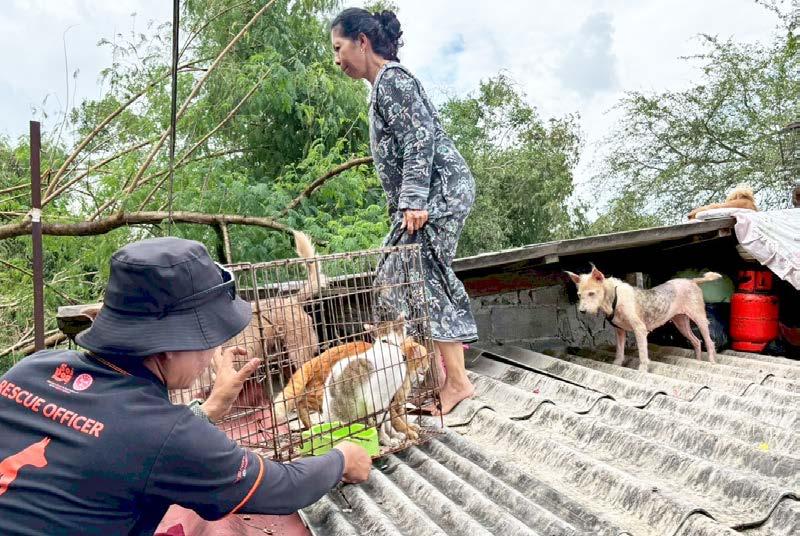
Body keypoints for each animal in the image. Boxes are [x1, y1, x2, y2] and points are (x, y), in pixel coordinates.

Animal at [565, 265, 721, 371]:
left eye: (591, 293)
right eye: (579, 295)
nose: (582, 311)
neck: (614, 298)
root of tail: (692, 281)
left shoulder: (639, 329)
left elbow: (642, 352)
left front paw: (643, 369)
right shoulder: (619, 331)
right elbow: (619, 351)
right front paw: (617, 364)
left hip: (699, 318)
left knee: (709, 342)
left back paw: (712, 362)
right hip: (681, 323)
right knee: (697, 341)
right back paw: (698, 361)